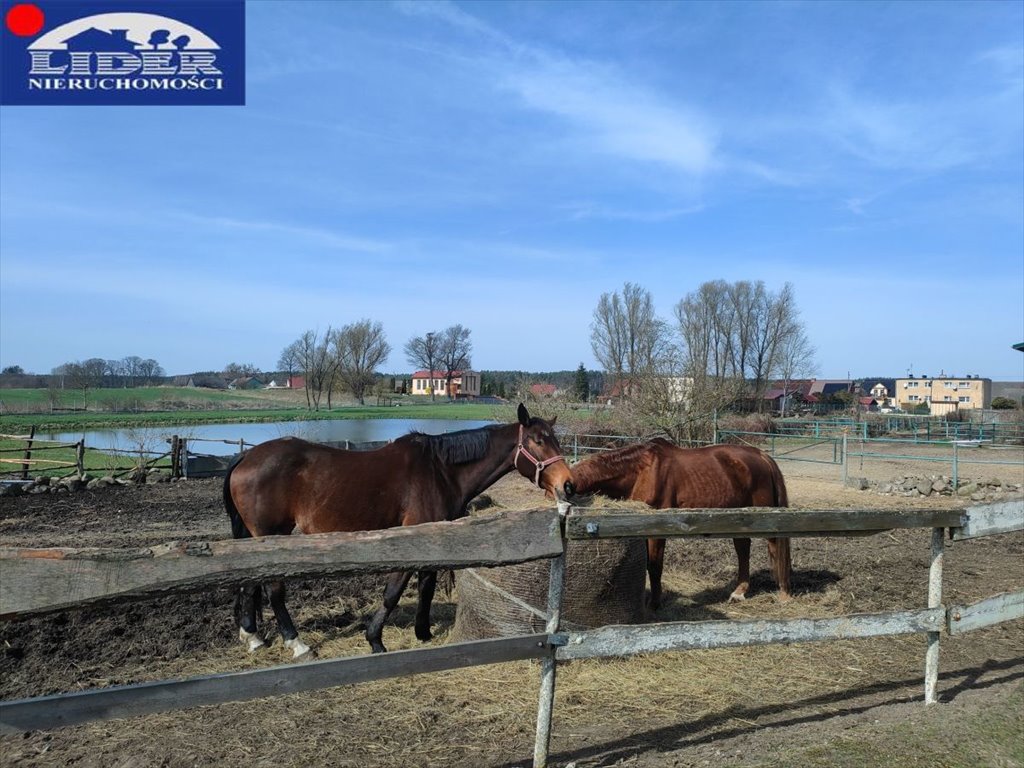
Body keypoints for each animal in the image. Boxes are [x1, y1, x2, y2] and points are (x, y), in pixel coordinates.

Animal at [225, 403, 577, 655]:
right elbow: (395, 591)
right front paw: (375, 639)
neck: (440, 470)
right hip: (272, 535)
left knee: (250, 585)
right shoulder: (411, 539)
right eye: (538, 440)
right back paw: (296, 643)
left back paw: (252, 635)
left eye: (557, 440)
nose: (568, 484)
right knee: (273, 590)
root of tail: (246, 456)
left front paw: (423, 632)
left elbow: (426, 586)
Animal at [573, 442, 786, 610]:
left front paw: (654, 604)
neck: (641, 471)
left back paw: (783, 592)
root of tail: (762, 456)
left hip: (769, 521)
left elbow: (655, 566)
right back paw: (739, 592)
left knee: (776, 547)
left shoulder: (656, 532)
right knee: (743, 550)